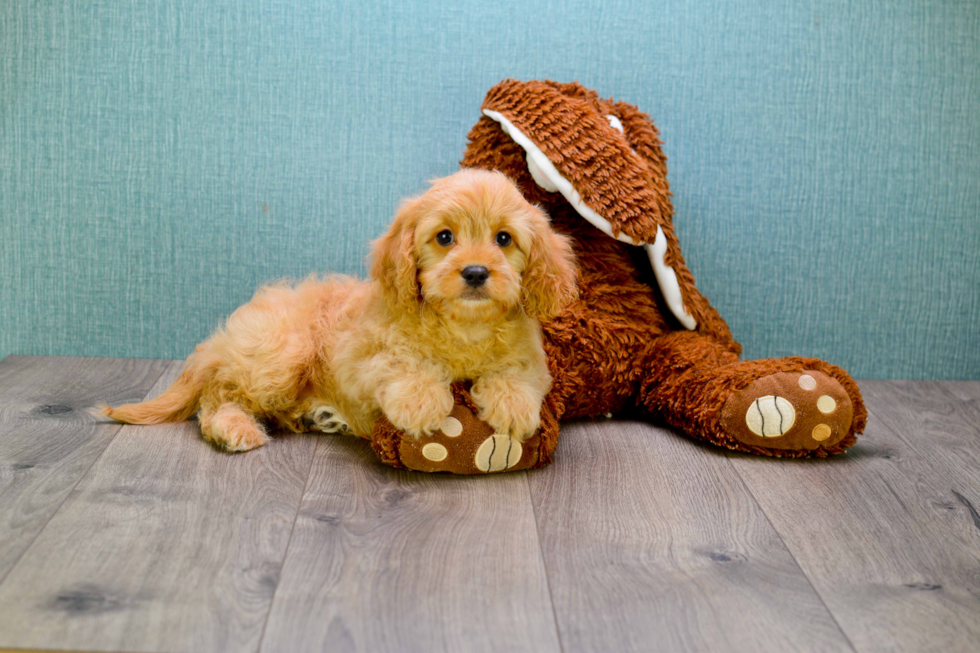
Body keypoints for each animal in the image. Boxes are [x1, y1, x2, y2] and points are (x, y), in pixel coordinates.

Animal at [99, 171, 580, 450]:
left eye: (504, 239)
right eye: (444, 237)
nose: (477, 272)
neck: (464, 327)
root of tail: (217, 344)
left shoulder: (533, 360)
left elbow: (515, 372)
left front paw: (513, 407)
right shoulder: (361, 358)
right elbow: (401, 362)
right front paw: (422, 401)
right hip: (279, 354)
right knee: (218, 396)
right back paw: (235, 427)